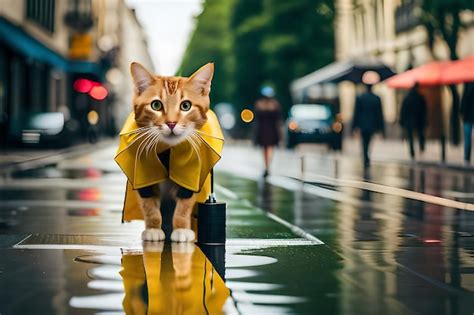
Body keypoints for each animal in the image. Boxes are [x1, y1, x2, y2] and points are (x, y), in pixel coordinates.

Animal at [128, 62, 213, 244]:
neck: (168, 151)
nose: (172, 123)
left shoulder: (191, 176)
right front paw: (153, 229)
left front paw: (181, 229)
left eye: (186, 106)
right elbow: (149, 206)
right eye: (156, 105)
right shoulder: (142, 175)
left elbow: (184, 206)